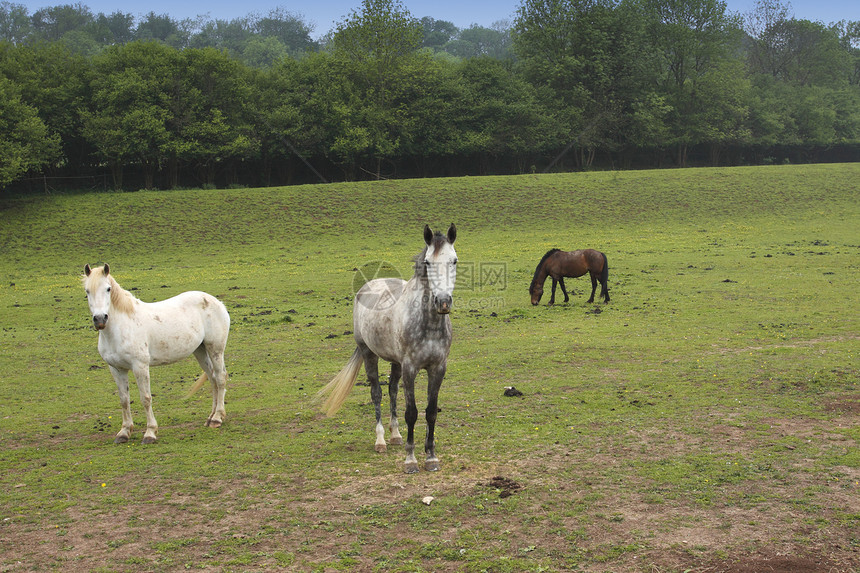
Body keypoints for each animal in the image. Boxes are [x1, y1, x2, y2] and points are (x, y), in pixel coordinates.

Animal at [82, 264, 230, 442]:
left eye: (108, 289)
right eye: (87, 291)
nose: (100, 319)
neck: (121, 327)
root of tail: (218, 302)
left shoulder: (140, 366)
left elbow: (145, 398)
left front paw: (150, 432)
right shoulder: (116, 369)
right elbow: (124, 400)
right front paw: (124, 432)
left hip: (215, 349)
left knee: (220, 378)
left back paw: (217, 418)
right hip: (200, 351)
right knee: (212, 378)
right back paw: (210, 417)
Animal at [320, 223, 456, 474]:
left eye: (454, 260)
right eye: (428, 262)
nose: (443, 302)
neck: (429, 324)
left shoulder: (438, 368)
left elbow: (431, 412)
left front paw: (431, 457)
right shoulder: (411, 368)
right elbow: (412, 413)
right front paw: (411, 461)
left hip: (395, 362)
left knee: (392, 390)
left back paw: (395, 436)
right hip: (368, 354)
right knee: (377, 393)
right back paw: (381, 441)